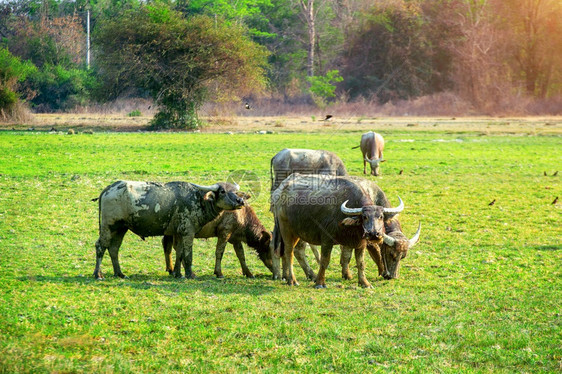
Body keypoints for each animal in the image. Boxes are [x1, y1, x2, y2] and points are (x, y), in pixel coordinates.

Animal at [92, 180, 245, 280]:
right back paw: (98, 274)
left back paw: (120, 273)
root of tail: (109, 188)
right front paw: (189, 274)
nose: (240, 201)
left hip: (120, 228)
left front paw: (178, 273)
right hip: (108, 226)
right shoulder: (188, 233)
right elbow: (188, 255)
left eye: (235, 191)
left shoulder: (178, 233)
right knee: (100, 246)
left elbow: (179, 254)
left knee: (114, 249)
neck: (198, 199)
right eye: (223, 191)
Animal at [270, 174, 400, 288]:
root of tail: (280, 193)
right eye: (364, 217)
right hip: (286, 231)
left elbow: (360, 263)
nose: (373, 234)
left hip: (298, 233)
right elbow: (324, 261)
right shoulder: (326, 240)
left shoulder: (360, 243)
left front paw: (365, 283)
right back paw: (292, 280)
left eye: (381, 217)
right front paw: (320, 283)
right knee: (289, 252)